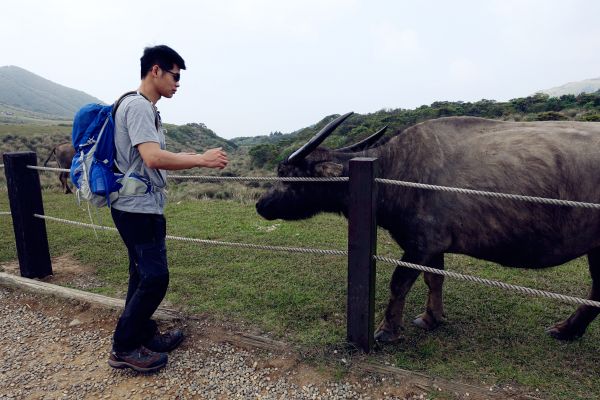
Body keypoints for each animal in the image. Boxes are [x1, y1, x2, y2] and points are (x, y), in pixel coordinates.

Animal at [255, 114, 600, 342]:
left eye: (287, 174)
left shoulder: (420, 244)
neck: (394, 172)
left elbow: (399, 283)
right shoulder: (434, 246)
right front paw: (432, 317)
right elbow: (434, 279)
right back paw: (569, 329)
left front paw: (387, 331)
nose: (261, 204)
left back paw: (567, 329)